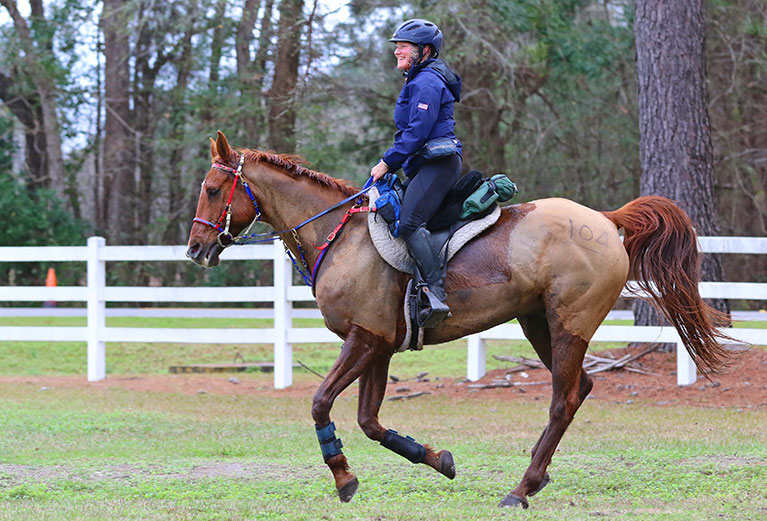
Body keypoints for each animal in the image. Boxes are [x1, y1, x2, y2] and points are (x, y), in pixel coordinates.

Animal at [186, 131, 731, 508]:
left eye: (213, 188)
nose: (196, 249)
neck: (338, 237)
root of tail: (605, 219)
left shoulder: (364, 340)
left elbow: (322, 403)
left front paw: (344, 478)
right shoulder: (379, 346)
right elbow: (370, 422)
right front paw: (437, 460)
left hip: (568, 324)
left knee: (563, 399)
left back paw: (520, 489)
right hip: (537, 323)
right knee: (579, 390)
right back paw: (537, 477)